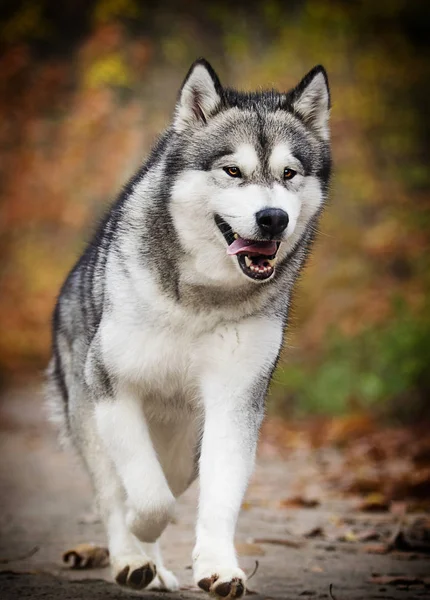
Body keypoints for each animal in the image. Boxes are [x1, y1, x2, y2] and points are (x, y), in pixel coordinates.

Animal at [46, 57, 330, 600]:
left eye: (289, 173)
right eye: (233, 170)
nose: (273, 218)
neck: (201, 299)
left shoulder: (234, 401)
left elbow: (218, 497)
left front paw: (218, 568)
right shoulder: (113, 389)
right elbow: (145, 497)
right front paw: (138, 534)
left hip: (184, 448)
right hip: (90, 414)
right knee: (113, 489)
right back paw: (134, 559)